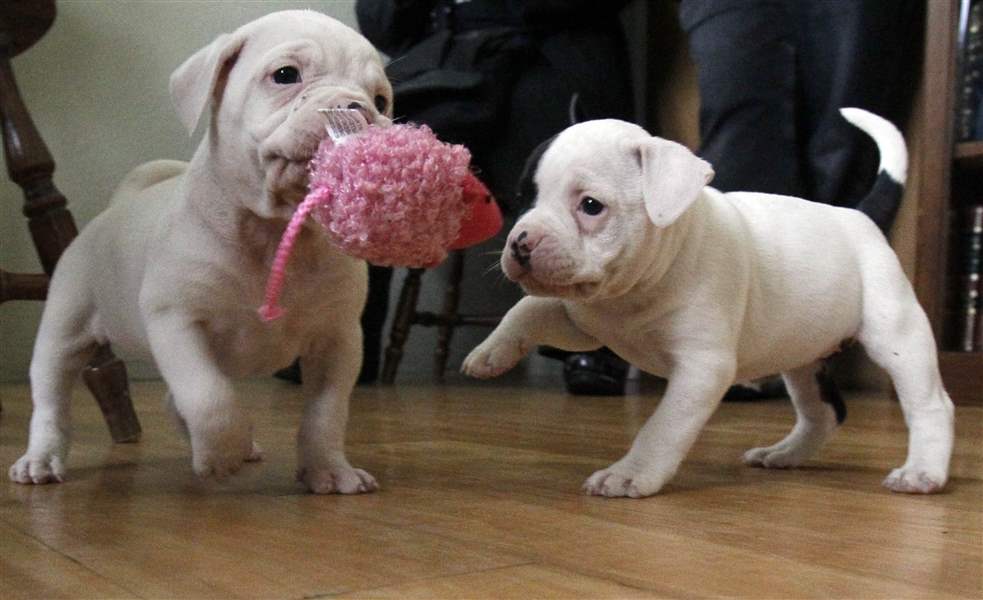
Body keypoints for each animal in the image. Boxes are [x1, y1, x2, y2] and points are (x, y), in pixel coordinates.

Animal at [10, 11, 392, 494]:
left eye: (381, 99)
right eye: (286, 75)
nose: (357, 108)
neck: (271, 230)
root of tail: (119, 206)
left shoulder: (337, 339)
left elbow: (326, 412)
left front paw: (328, 469)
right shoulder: (178, 320)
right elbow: (209, 398)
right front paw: (221, 454)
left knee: (175, 400)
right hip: (64, 328)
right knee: (52, 400)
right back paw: (40, 459)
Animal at [466, 110, 956, 500]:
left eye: (590, 205)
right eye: (523, 198)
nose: (521, 242)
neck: (633, 291)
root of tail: (857, 214)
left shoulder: (702, 368)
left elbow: (663, 426)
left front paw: (630, 475)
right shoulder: (583, 323)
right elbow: (529, 310)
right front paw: (491, 352)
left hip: (896, 333)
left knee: (931, 404)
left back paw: (922, 472)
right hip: (803, 355)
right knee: (826, 412)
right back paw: (784, 453)